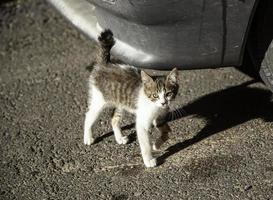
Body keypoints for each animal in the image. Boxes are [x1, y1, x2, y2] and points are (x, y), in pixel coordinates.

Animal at [83, 29, 178, 167]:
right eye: (155, 95)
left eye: (168, 94)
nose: (163, 103)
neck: (154, 106)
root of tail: (104, 64)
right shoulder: (142, 122)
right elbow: (145, 144)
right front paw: (149, 160)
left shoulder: (159, 117)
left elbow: (167, 131)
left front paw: (157, 145)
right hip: (99, 100)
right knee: (89, 116)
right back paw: (87, 137)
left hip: (120, 103)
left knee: (114, 119)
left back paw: (119, 138)